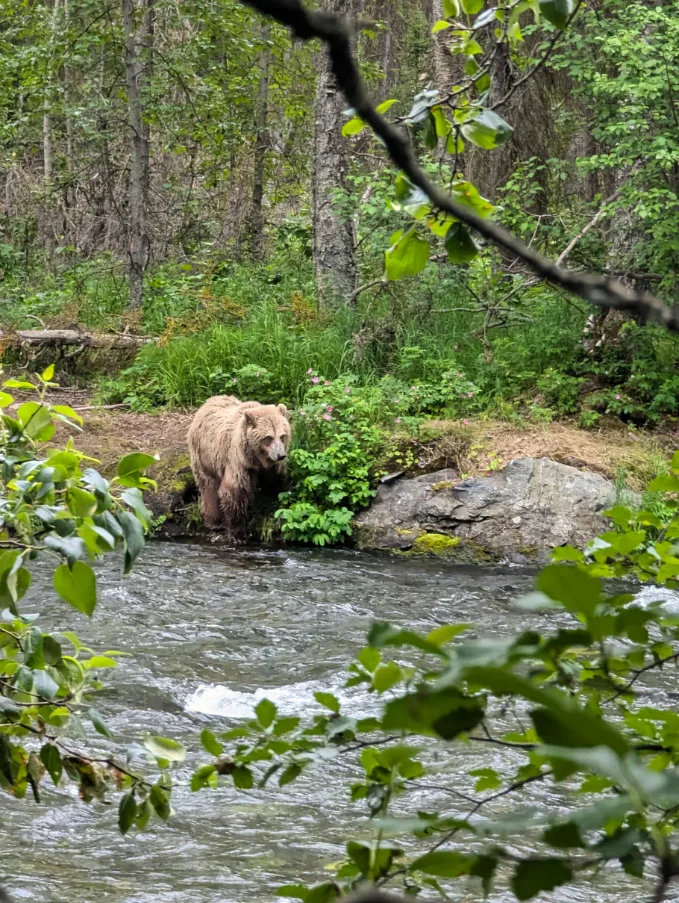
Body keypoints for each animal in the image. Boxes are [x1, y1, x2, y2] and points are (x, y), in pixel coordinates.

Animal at [187, 396, 290, 536]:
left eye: (282, 435)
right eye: (268, 437)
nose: (281, 455)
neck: (256, 458)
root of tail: (207, 403)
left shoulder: (270, 467)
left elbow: (275, 481)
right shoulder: (239, 462)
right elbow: (235, 491)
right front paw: (239, 531)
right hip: (204, 456)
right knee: (209, 486)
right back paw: (214, 522)